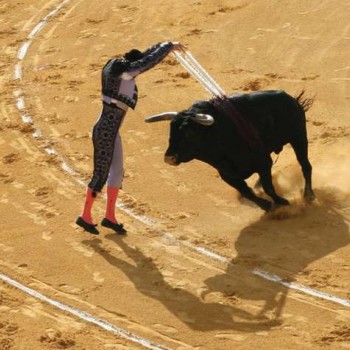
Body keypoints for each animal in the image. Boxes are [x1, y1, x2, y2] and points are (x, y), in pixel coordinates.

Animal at [146, 90, 316, 211]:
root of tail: (291, 99)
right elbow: (247, 192)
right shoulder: (228, 175)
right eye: (170, 132)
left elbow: (268, 187)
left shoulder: (261, 162)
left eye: (188, 133)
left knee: (305, 165)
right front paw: (266, 206)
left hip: (299, 137)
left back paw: (309, 195)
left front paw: (282, 202)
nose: (169, 158)